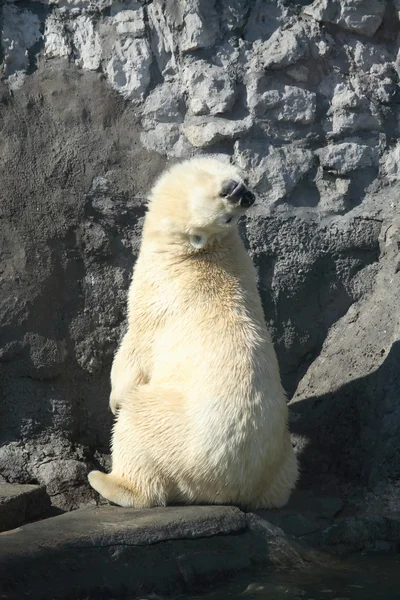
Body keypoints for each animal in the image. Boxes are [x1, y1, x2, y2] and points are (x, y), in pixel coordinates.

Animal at [89, 157, 298, 508]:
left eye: (229, 216)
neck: (194, 251)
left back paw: (106, 480)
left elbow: (135, 349)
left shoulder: (158, 295)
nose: (248, 196)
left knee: (137, 425)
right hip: (281, 457)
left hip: (174, 429)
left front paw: (114, 400)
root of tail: (229, 485)